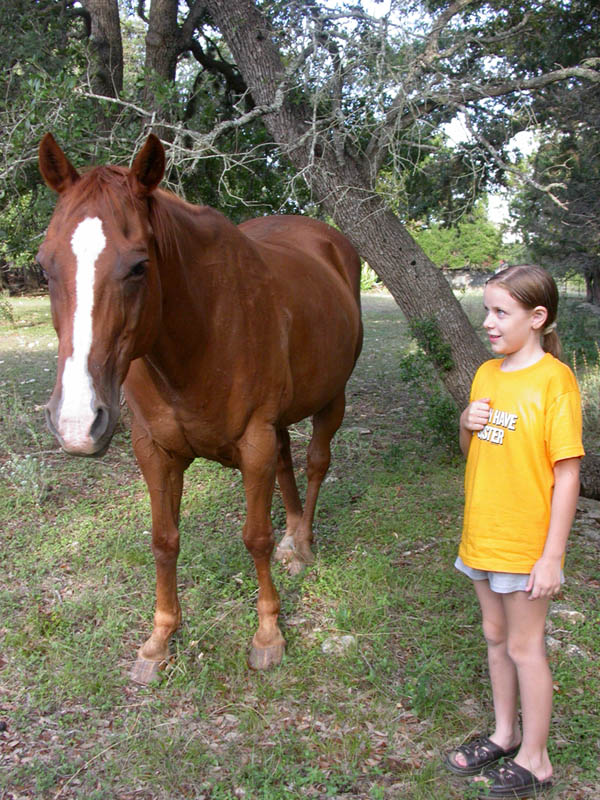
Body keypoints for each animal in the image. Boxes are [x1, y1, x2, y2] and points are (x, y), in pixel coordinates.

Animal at [37, 133, 363, 684]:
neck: (199, 333)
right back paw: (294, 539)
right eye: (44, 266)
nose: (77, 423)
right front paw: (159, 640)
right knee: (288, 465)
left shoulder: (254, 439)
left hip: (329, 399)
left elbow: (255, 536)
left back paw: (301, 546)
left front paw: (268, 634)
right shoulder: (154, 451)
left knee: (316, 463)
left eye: (139, 266)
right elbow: (164, 540)